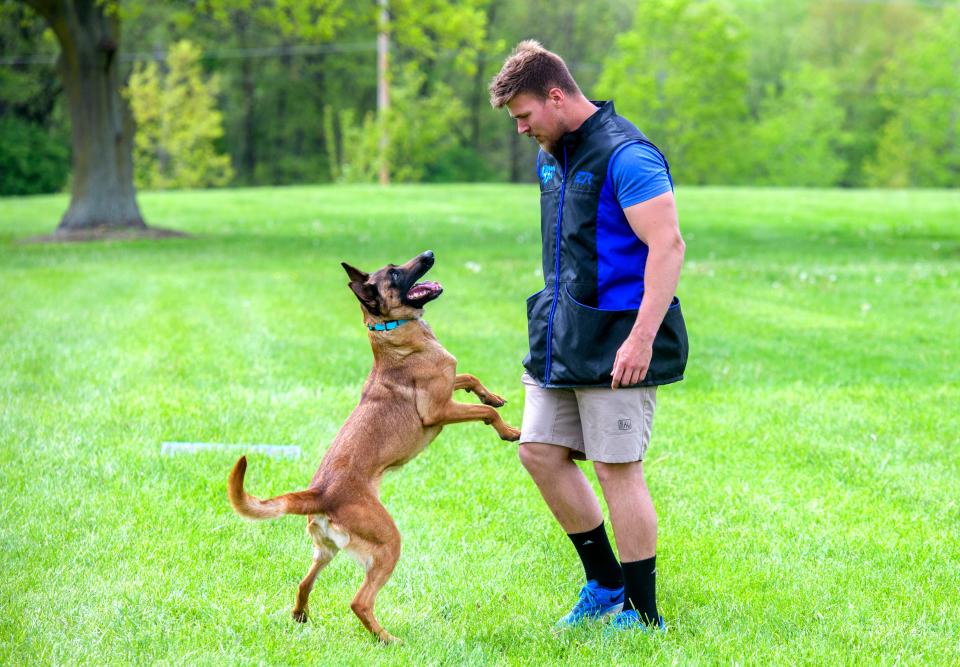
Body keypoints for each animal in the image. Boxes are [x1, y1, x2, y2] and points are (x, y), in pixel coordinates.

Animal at [229, 249, 520, 640]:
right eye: (395, 273)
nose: (428, 253)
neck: (391, 331)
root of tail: (320, 493)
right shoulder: (439, 410)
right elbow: (485, 414)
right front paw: (510, 431)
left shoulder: (448, 387)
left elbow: (469, 378)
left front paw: (493, 396)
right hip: (387, 544)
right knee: (360, 602)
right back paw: (387, 638)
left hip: (325, 552)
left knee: (303, 584)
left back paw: (302, 615)